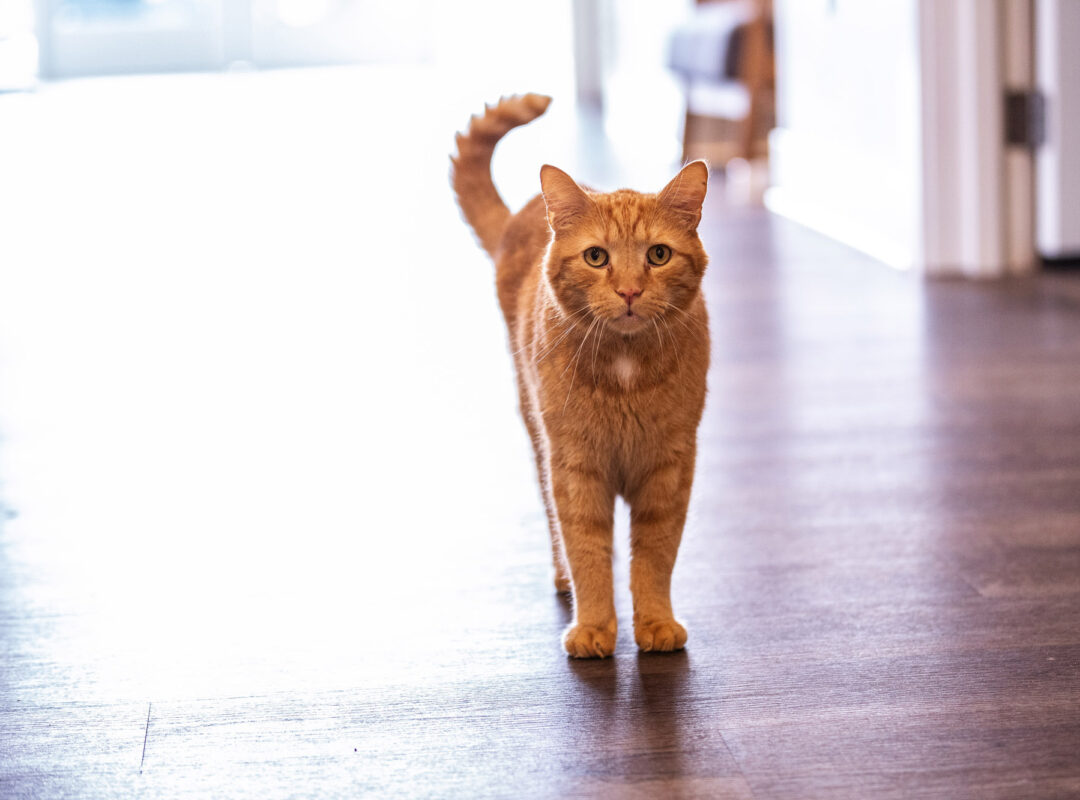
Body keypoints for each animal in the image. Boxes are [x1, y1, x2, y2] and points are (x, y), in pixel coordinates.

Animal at [453, 95, 712, 656]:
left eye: (658, 255)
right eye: (596, 257)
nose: (630, 291)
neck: (625, 369)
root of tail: (520, 215)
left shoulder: (669, 465)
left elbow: (655, 554)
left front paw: (655, 622)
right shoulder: (574, 466)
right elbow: (586, 547)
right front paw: (593, 626)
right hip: (536, 432)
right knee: (556, 530)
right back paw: (562, 580)